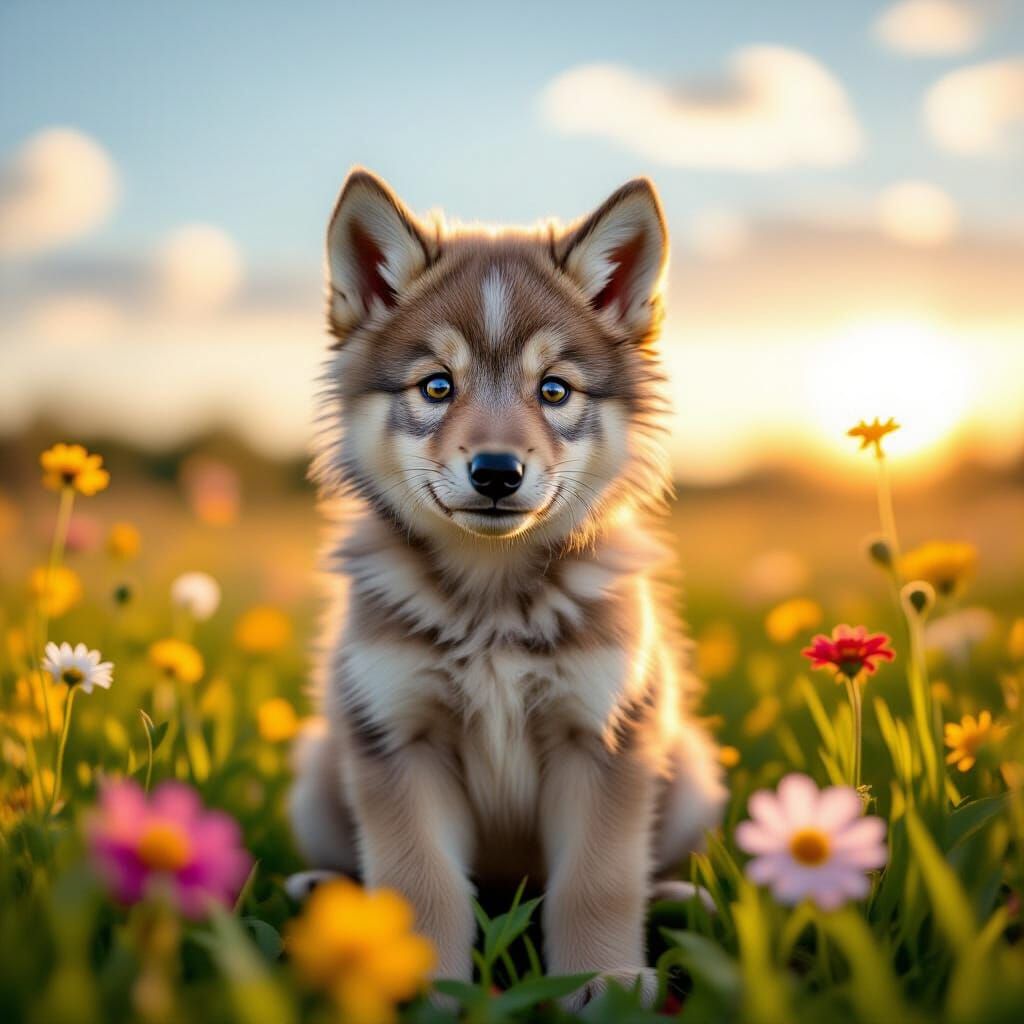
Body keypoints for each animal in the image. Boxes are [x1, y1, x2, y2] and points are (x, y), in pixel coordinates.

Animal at [288, 169, 726, 1006]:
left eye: (554, 391)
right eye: (436, 386)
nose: (496, 472)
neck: (490, 603)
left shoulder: (605, 738)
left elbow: (599, 882)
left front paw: (604, 980)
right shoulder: (397, 738)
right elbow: (418, 881)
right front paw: (421, 984)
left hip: (684, 765)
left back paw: (679, 896)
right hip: (320, 772)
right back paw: (320, 892)